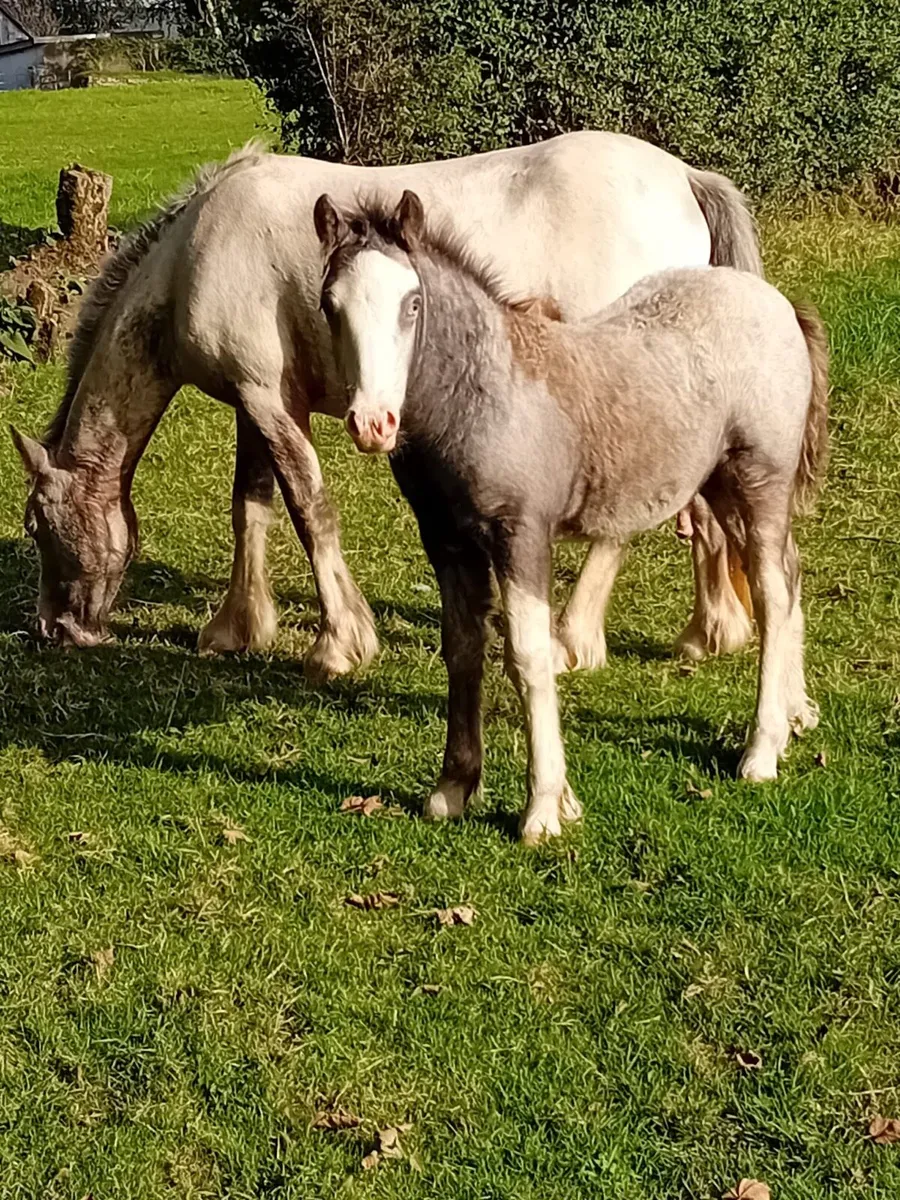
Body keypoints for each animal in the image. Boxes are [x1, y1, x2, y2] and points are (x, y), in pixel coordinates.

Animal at [10, 133, 763, 679]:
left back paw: (575, 638)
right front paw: (238, 628)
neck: (199, 250)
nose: (52, 629)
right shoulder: (257, 400)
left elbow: (309, 508)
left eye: (35, 525)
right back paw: (711, 631)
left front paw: (340, 643)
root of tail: (685, 178)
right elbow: (250, 506)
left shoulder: (268, 401)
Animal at [314, 190, 828, 844]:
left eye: (413, 303)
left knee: (772, 595)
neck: (484, 396)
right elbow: (463, 647)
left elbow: (529, 658)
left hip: (761, 480)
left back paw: (761, 750)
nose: (371, 422)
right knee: (791, 574)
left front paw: (545, 808)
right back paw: (795, 716)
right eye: (330, 305)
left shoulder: (522, 535)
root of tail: (777, 301)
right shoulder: (446, 539)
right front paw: (453, 787)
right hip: (718, 486)